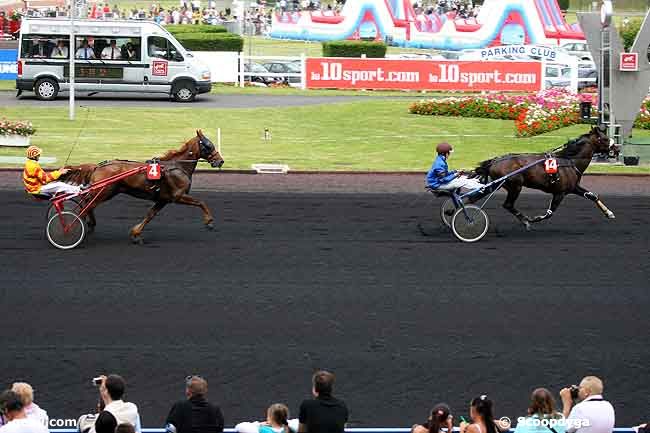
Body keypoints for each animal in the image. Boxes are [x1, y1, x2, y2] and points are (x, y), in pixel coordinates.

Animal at [61, 128, 223, 243]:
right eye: (209, 145)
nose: (220, 161)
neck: (177, 167)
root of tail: (97, 166)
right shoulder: (178, 196)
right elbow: (201, 202)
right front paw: (209, 221)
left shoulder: (163, 199)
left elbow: (150, 215)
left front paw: (136, 234)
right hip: (104, 191)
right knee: (86, 206)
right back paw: (76, 226)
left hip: (106, 192)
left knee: (88, 205)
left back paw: (89, 224)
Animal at [470, 125, 612, 230]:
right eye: (605, 139)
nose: (615, 147)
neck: (569, 161)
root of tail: (494, 161)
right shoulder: (560, 193)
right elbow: (549, 213)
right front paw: (533, 219)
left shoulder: (573, 188)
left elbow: (592, 196)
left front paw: (608, 213)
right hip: (515, 186)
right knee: (508, 205)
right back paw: (525, 221)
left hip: (495, 184)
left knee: (474, 198)